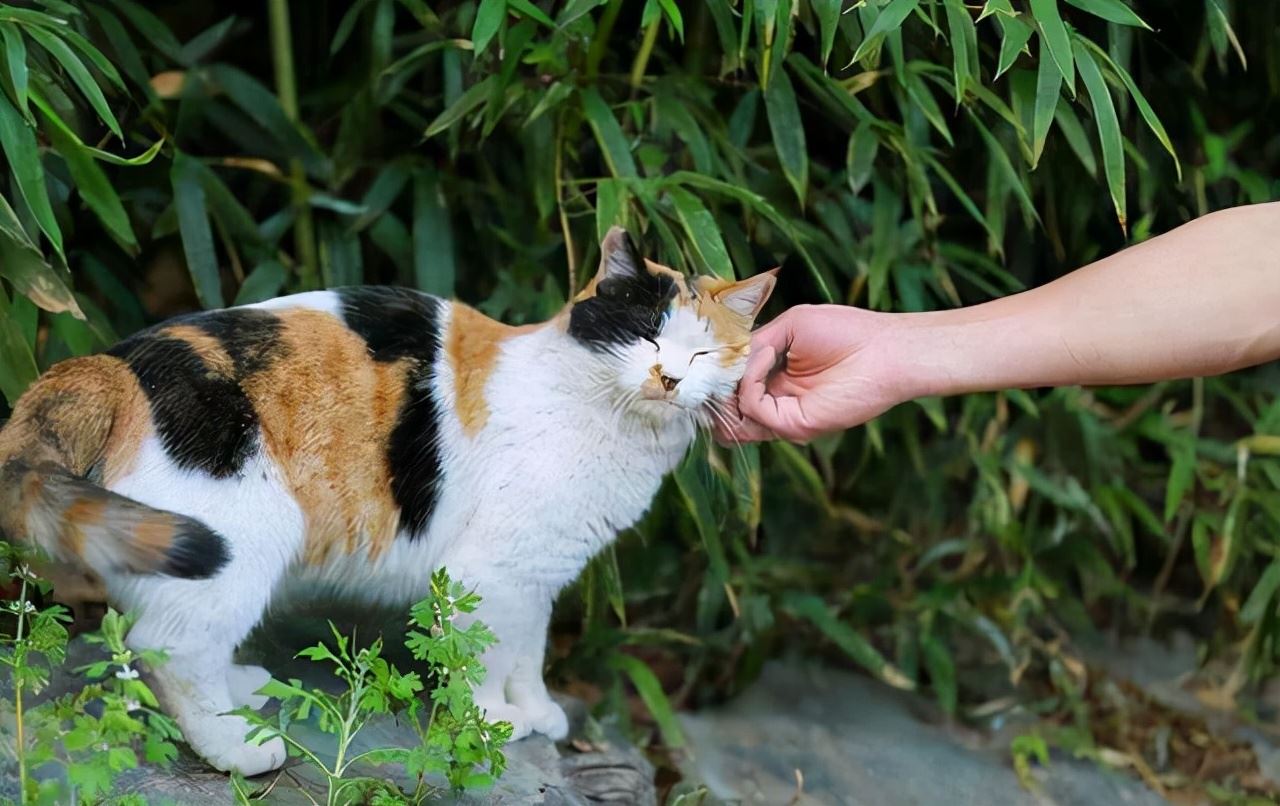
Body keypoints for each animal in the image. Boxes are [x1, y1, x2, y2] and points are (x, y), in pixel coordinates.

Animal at [0, 227, 778, 777]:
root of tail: (111, 363)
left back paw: (242, 690)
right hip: (239, 541)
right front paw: (494, 719)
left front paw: (538, 710)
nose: (670, 377)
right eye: (645, 334)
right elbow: (485, 656)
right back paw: (235, 748)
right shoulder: (487, 575)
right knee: (165, 649)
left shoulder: (536, 577)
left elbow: (528, 653)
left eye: (705, 355)